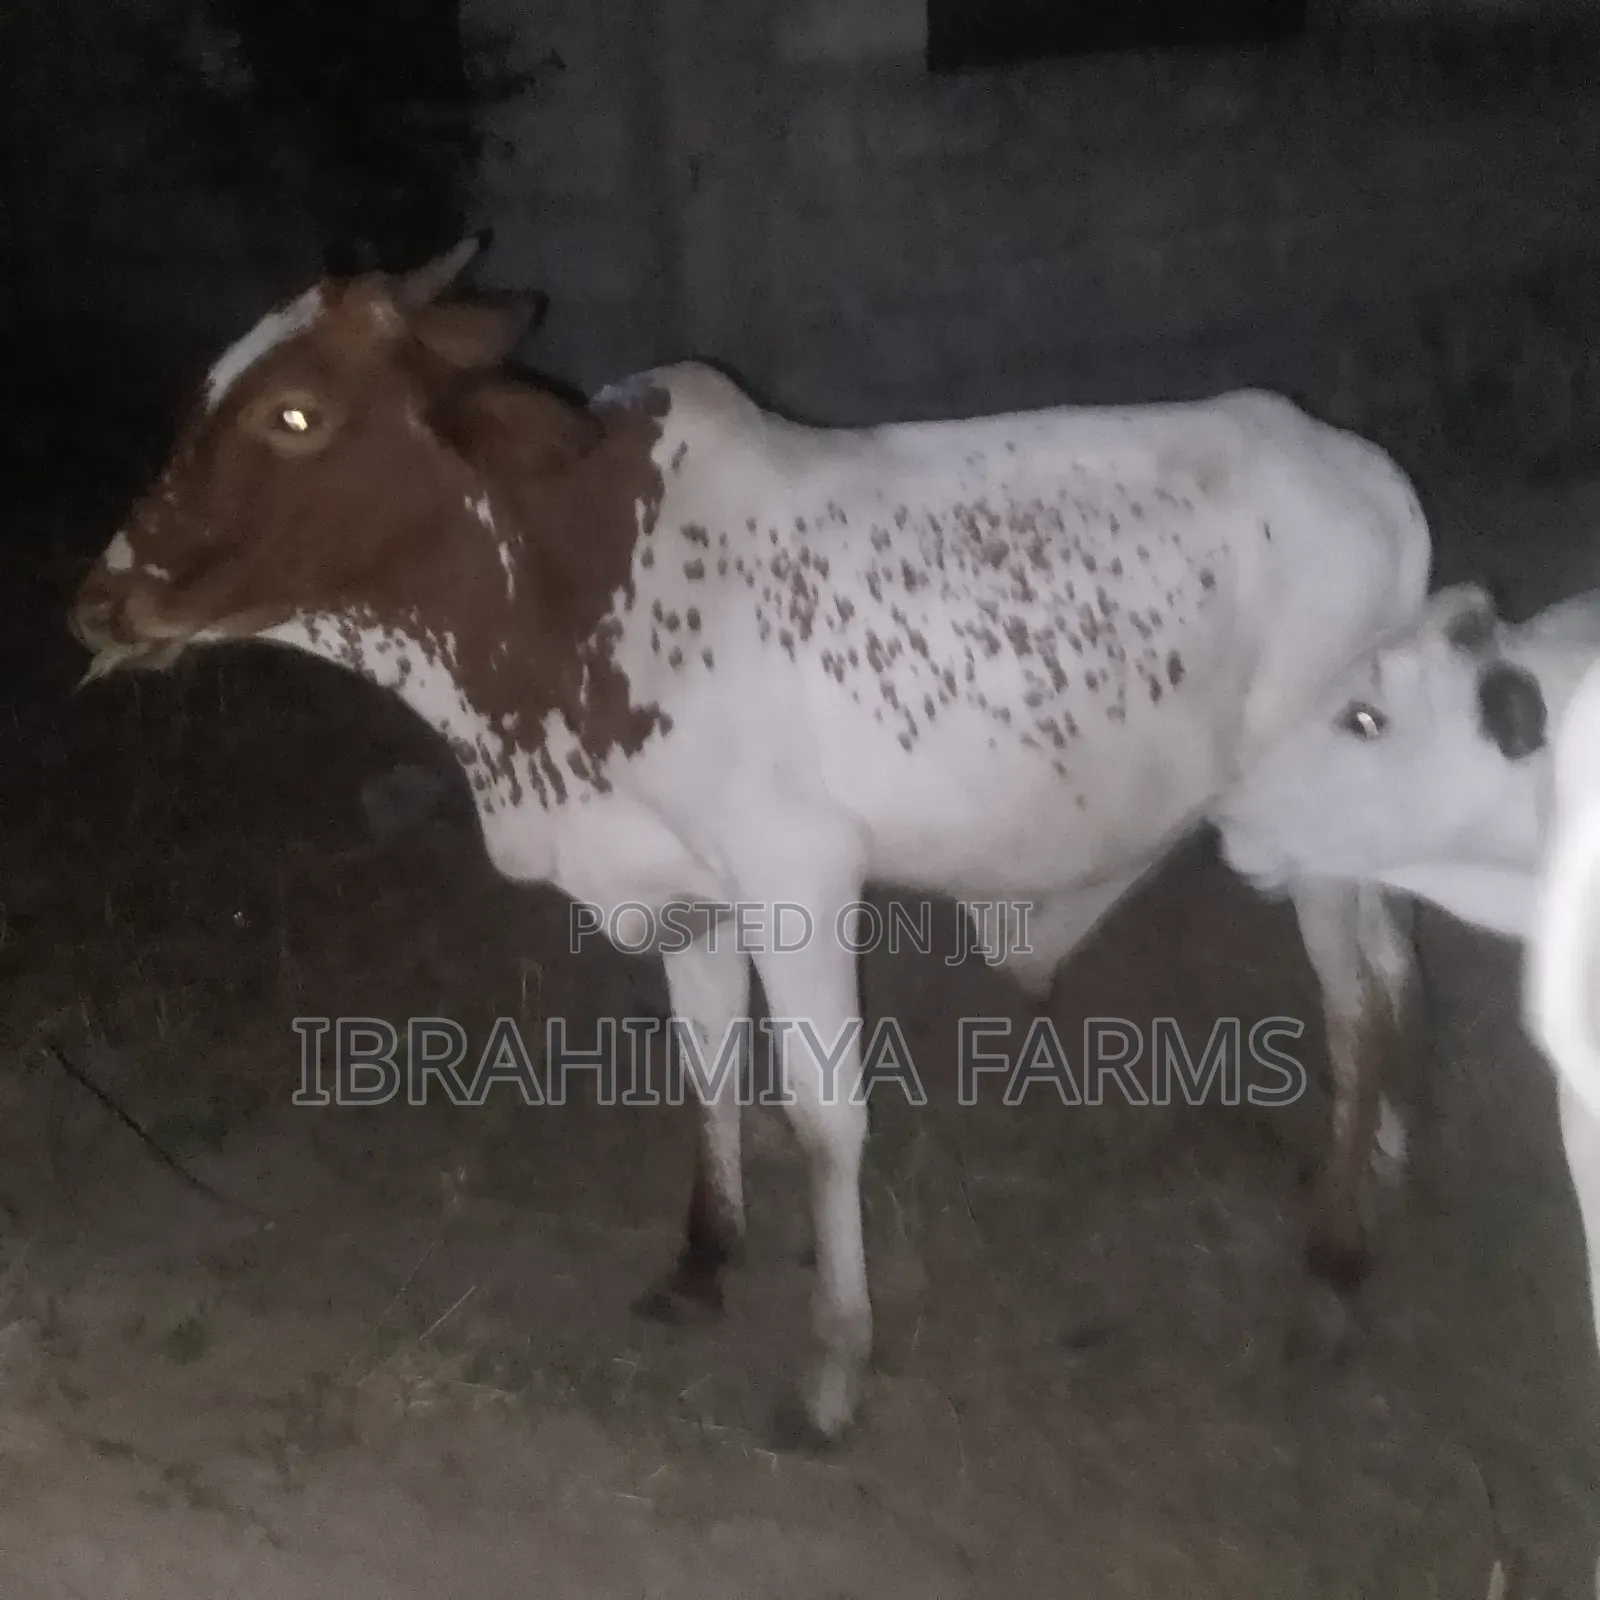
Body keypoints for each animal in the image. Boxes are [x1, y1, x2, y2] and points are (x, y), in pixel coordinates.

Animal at [69, 233, 1434, 1446]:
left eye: (294, 416)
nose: (101, 598)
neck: (569, 597)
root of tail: (1368, 478)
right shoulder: (689, 892)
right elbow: (710, 1065)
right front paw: (700, 1261)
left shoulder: (799, 881)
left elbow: (824, 1114)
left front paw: (833, 1369)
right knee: (1388, 974)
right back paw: (1373, 1172)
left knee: (1356, 999)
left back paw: (1331, 1268)